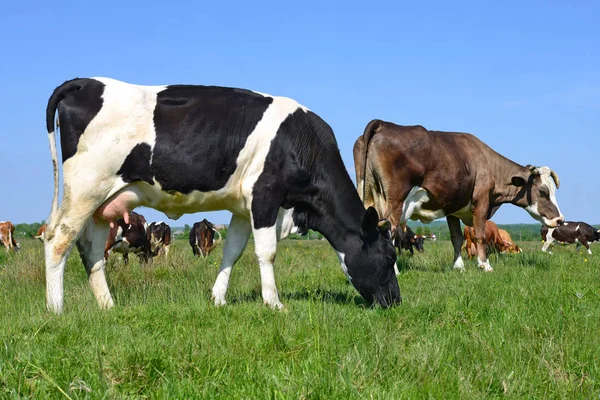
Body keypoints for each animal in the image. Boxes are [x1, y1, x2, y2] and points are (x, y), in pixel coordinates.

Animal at [44, 78, 400, 314]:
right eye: (388, 257)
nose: (396, 302)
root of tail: (87, 82)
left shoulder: (243, 208)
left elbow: (232, 251)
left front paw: (218, 298)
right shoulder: (265, 195)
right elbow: (267, 253)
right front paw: (274, 302)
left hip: (103, 203)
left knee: (91, 250)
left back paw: (108, 306)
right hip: (85, 189)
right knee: (58, 239)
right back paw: (56, 309)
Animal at [352, 120, 564, 274]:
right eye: (543, 192)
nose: (560, 219)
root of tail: (384, 124)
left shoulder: (453, 208)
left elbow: (456, 238)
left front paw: (458, 266)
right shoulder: (481, 201)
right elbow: (479, 235)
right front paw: (485, 265)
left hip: (369, 194)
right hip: (395, 200)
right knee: (388, 229)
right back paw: (393, 270)